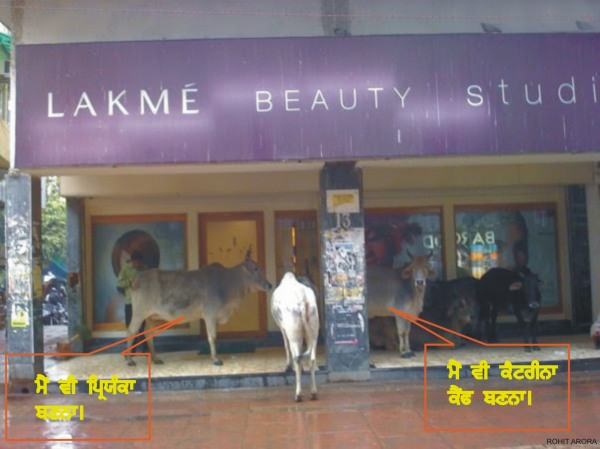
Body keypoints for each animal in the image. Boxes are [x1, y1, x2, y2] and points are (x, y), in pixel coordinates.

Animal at [270, 272, 318, 400]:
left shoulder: (283, 328)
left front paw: (287, 367)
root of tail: (302, 300)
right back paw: (313, 392)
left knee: (297, 357)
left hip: (293, 333)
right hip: (314, 331)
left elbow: (286, 346)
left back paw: (298, 394)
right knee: (311, 357)